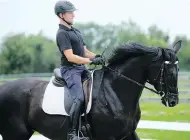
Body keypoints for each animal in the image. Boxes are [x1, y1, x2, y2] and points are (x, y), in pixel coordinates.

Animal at [0, 40, 182, 139]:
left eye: (178, 70)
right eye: (170, 72)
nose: (173, 101)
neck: (114, 92)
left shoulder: (128, 134)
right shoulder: (109, 136)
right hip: (15, 134)